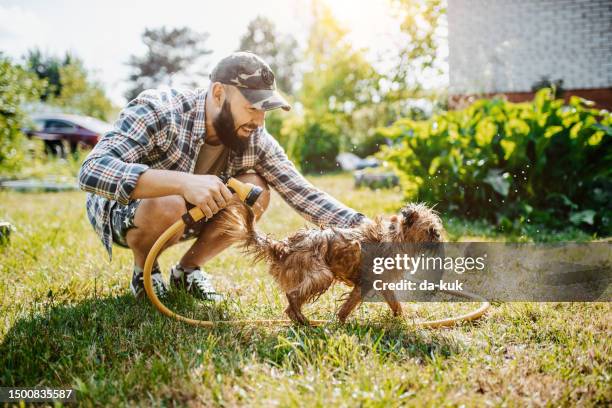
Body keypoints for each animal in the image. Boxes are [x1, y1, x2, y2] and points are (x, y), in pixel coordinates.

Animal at [216, 201, 444, 326]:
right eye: (431, 230)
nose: (440, 236)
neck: (396, 237)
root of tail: (284, 247)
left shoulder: (381, 282)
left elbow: (394, 303)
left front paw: (402, 319)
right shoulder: (364, 283)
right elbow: (347, 306)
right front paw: (339, 323)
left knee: (290, 305)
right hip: (321, 275)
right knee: (292, 298)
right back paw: (305, 322)